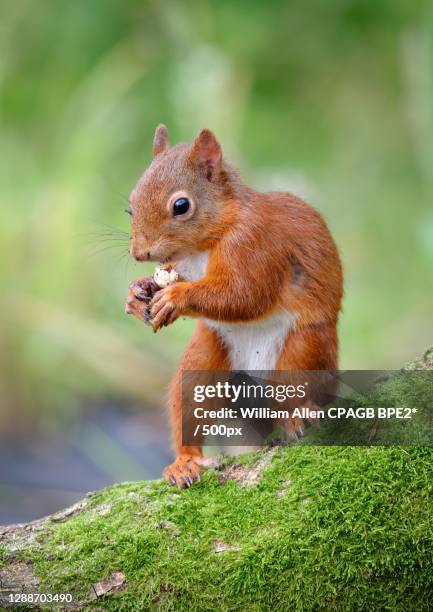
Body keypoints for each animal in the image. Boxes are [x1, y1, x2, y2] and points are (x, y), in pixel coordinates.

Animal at [124, 124, 340, 488]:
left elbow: (244, 295)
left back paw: (295, 417)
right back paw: (185, 462)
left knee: (295, 387)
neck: (205, 243)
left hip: (305, 348)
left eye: (181, 205)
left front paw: (176, 297)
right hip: (203, 357)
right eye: (130, 206)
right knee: (189, 401)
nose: (140, 253)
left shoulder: (257, 245)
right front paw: (138, 293)